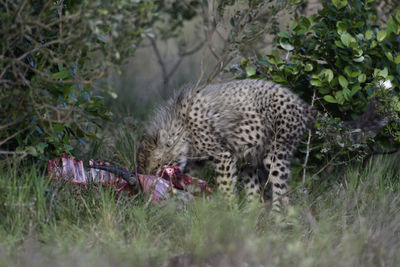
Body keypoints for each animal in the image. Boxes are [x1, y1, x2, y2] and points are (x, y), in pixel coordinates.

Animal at [137, 79, 388, 211]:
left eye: (156, 167)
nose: (150, 179)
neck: (180, 126)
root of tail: (300, 101)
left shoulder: (222, 156)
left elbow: (225, 187)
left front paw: (227, 210)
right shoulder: (198, 161)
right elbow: (193, 180)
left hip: (276, 155)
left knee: (282, 194)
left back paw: (276, 220)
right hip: (249, 159)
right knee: (255, 194)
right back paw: (252, 216)